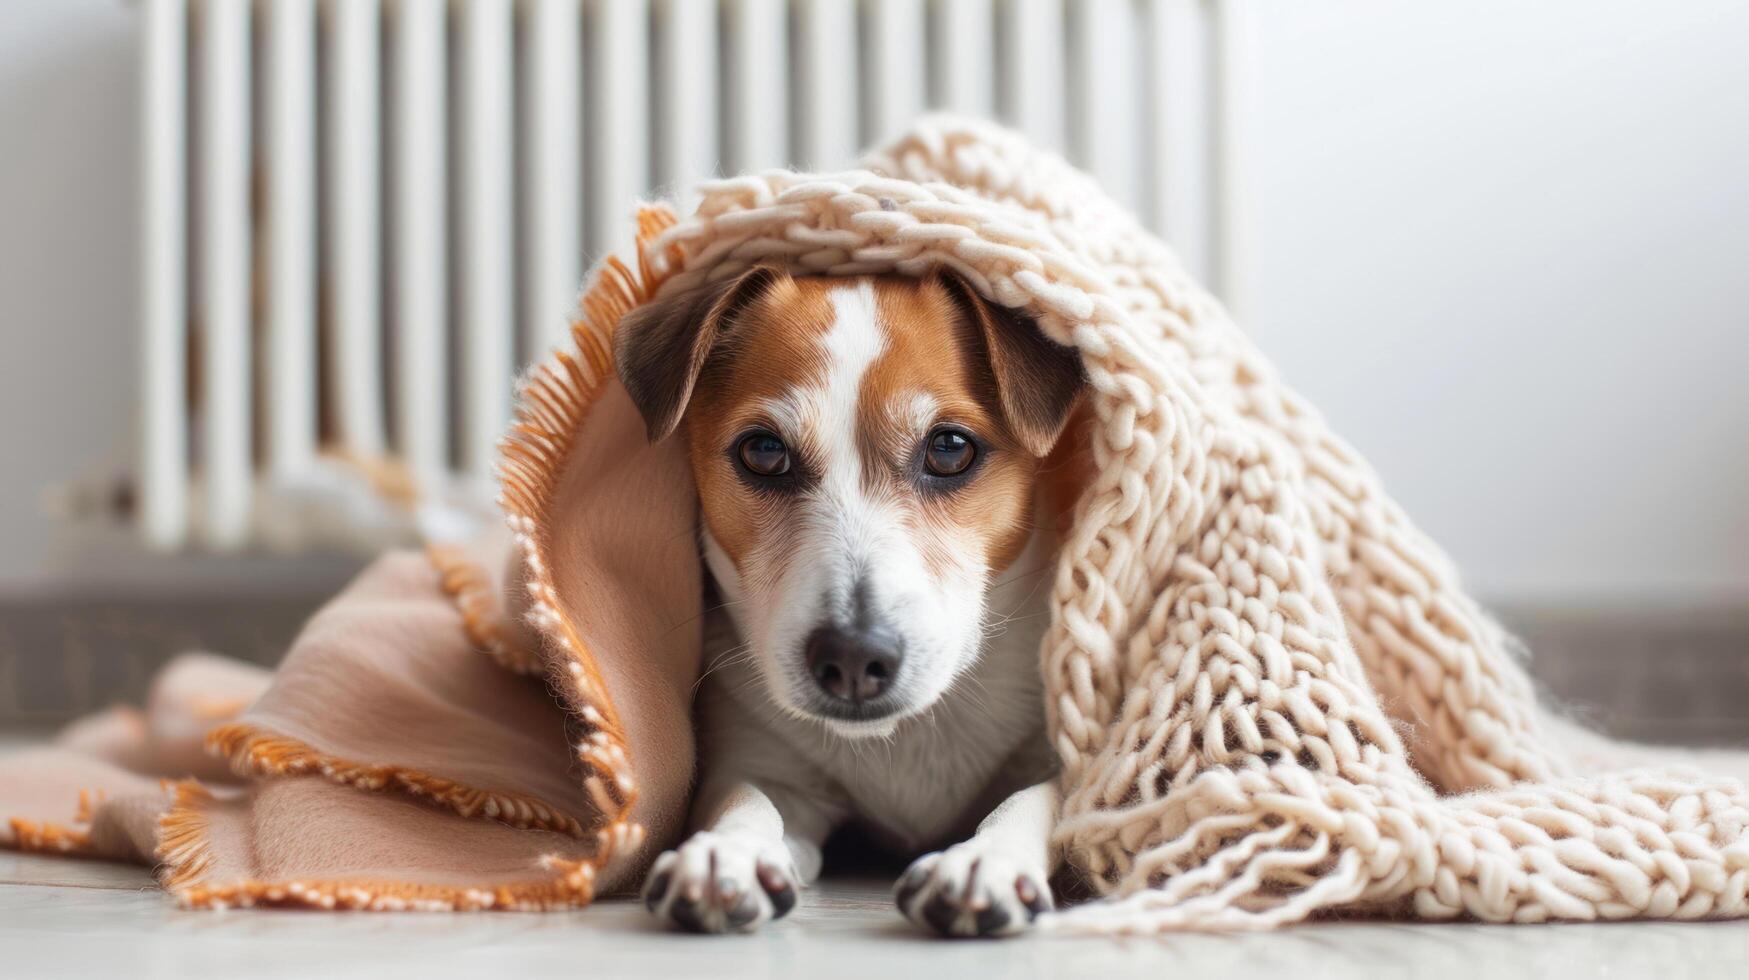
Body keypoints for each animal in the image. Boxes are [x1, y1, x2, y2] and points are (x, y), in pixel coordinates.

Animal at [612, 264, 1077, 938]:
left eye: (949, 448)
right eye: (763, 452)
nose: (854, 658)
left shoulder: (1069, 758)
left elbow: (1039, 798)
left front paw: (984, 861)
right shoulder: (766, 765)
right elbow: (745, 800)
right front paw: (727, 853)